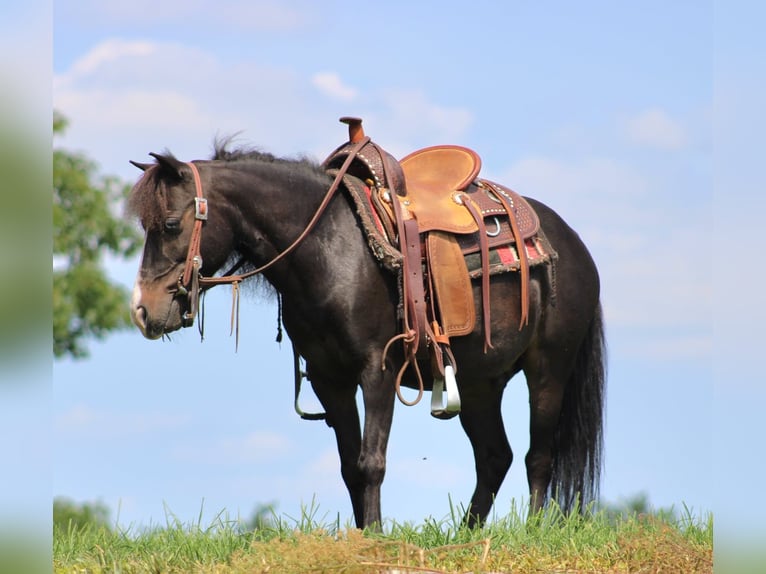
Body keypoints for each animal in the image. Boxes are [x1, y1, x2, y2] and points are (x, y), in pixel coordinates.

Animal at [127, 129, 608, 532]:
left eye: (170, 224)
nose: (142, 310)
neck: (329, 246)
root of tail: (572, 242)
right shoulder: (329, 380)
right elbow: (348, 466)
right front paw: (362, 535)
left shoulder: (378, 370)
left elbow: (371, 461)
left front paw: (376, 535)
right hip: (478, 383)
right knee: (495, 457)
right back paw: (464, 537)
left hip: (549, 370)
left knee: (538, 457)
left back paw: (532, 530)